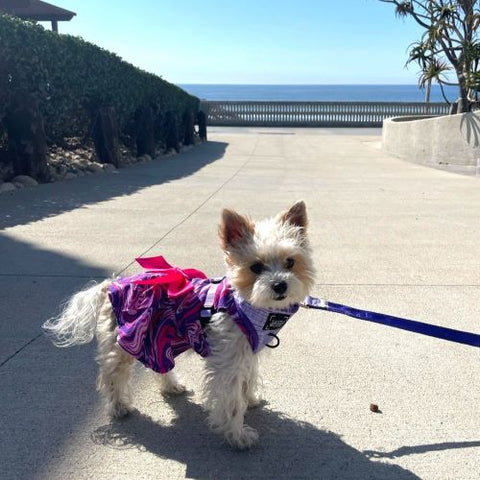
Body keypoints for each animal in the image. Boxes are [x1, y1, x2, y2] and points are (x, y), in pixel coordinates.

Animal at [44, 201, 316, 448]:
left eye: (290, 262)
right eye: (256, 267)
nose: (280, 285)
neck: (246, 304)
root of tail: (112, 285)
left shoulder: (248, 351)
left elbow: (248, 378)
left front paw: (250, 399)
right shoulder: (228, 363)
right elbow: (231, 401)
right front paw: (238, 435)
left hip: (159, 336)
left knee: (157, 363)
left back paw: (171, 385)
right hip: (125, 342)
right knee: (112, 376)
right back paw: (119, 406)